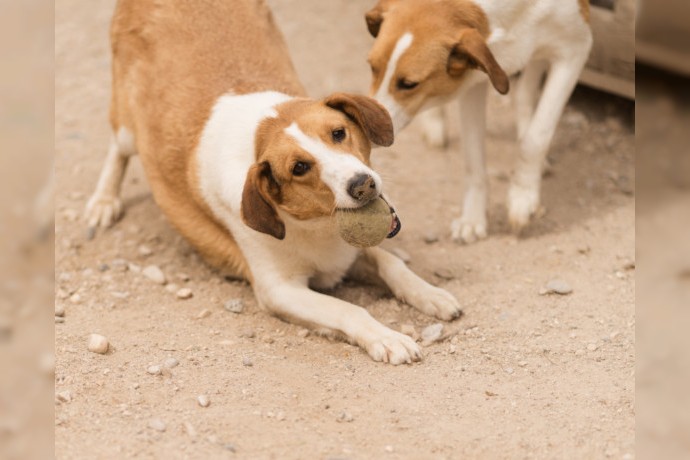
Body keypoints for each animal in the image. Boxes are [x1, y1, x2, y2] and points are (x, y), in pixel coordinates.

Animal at [86, 0, 462, 366]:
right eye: (299, 167)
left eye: (338, 133)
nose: (362, 184)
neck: (318, 224)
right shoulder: (280, 291)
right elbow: (350, 310)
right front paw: (386, 337)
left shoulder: (351, 252)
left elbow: (392, 265)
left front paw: (430, 294)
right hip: (128, 125)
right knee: (117, 149)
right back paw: (103, 202)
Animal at [366, 0, 592, 243]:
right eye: (372, 67)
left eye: (409, 84)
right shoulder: (473, 79)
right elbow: (473, 158)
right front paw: (472, 218)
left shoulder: (574, 50)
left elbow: (536, 137)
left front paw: (522, 196)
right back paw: (435, 122)